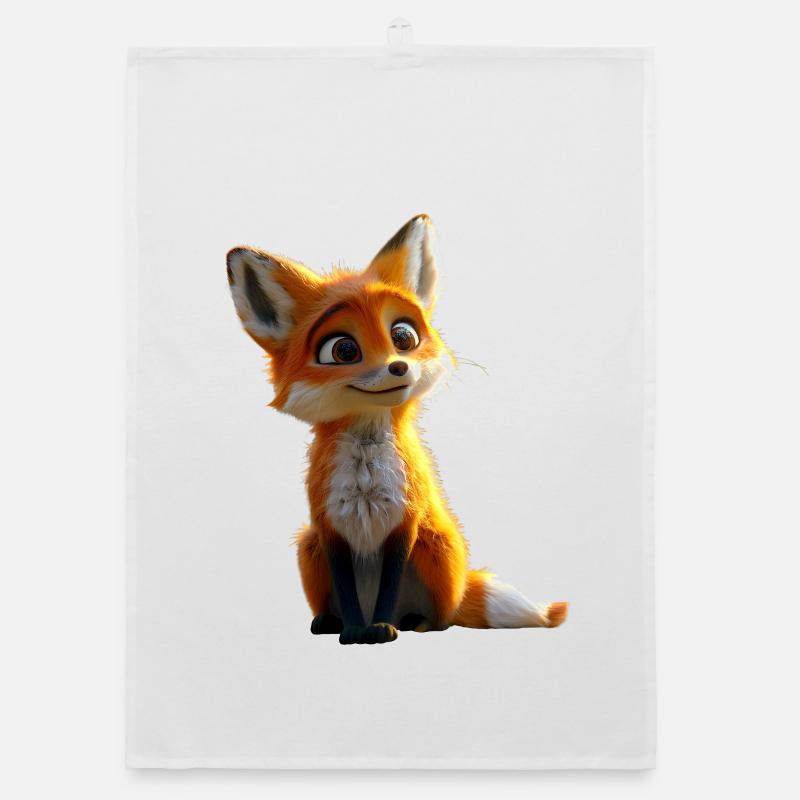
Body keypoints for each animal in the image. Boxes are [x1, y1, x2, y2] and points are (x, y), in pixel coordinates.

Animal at [226, 214, 568, 645]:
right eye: (343, 349)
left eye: (403, 336)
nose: (398, 366)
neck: (367, 476)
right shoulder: (329, 527)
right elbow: (346, 588)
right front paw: (354, 630)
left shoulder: (404, 522)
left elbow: (389, 586)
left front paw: (381, 628)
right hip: (308, 546)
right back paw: (328, 621)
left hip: (435, 543)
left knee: (444, 615)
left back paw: (417, 621)